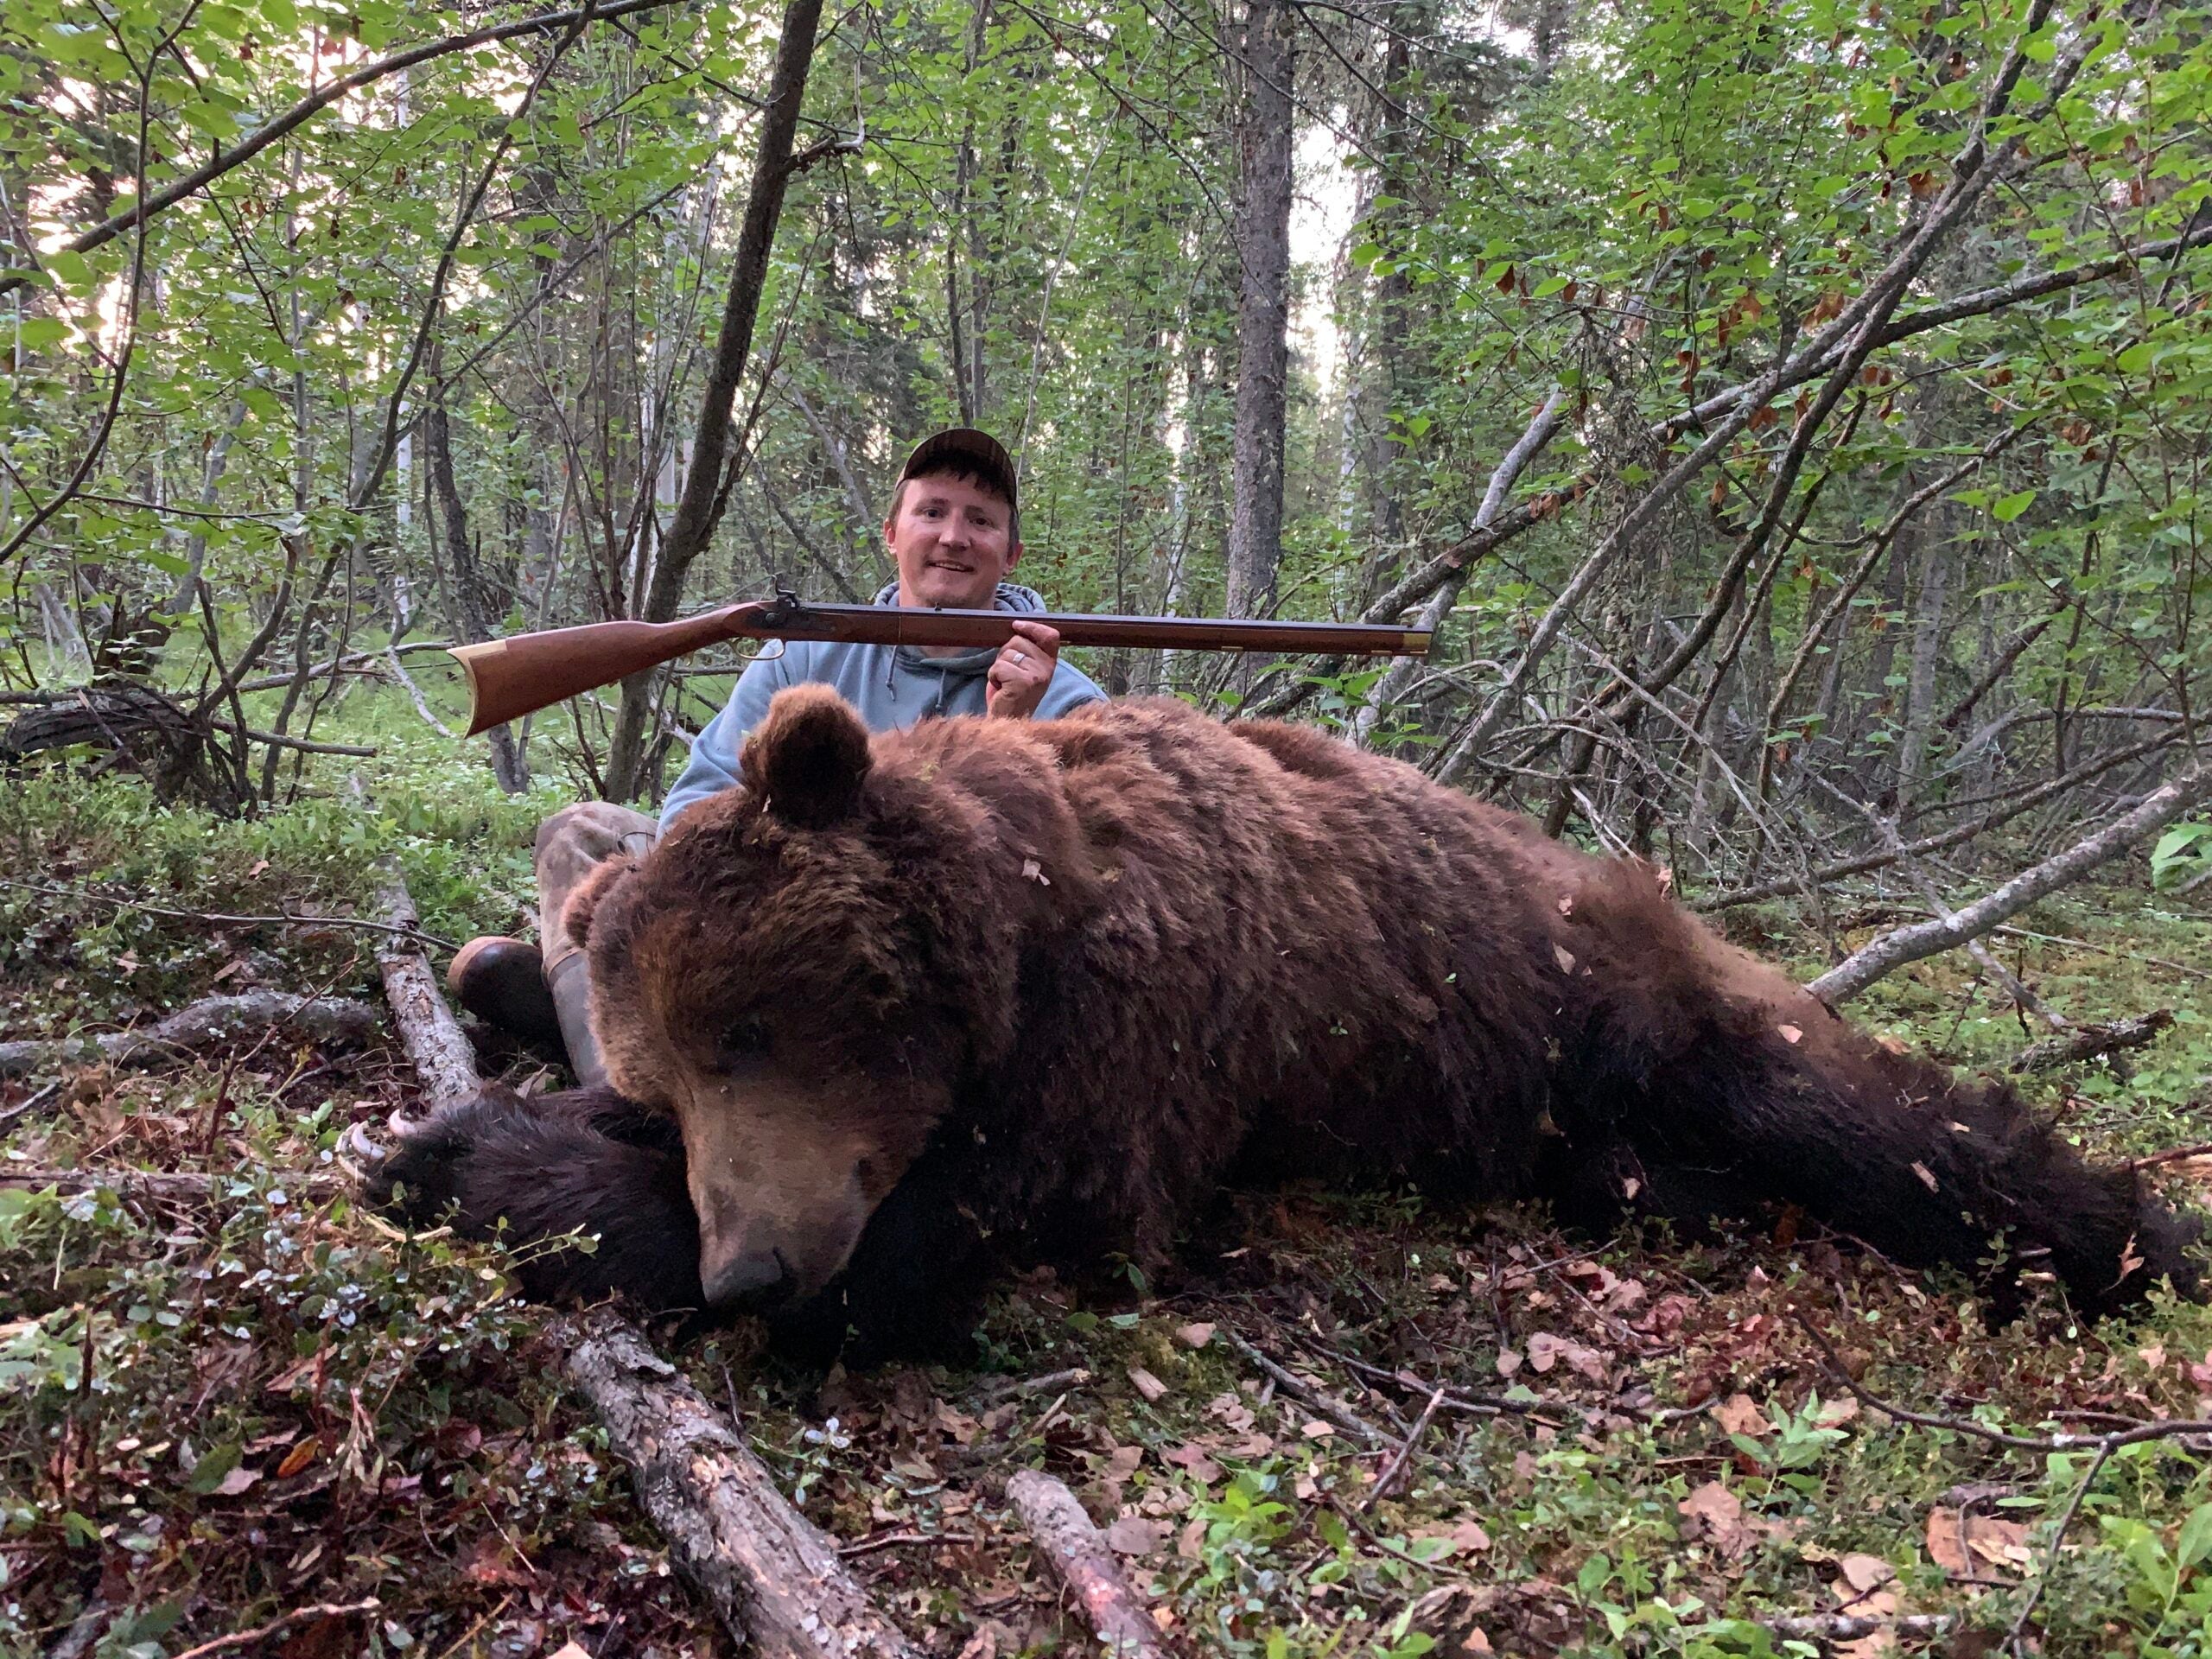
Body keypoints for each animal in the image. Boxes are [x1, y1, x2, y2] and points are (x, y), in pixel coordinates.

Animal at [369, 686, 2196, 1361]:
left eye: (749, 1032)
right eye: (667, 1091)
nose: (755, 1264)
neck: (1032, 917)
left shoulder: (1141, 1041)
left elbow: (980, 1218)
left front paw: (457, 1158)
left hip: (1630, 1002)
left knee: (1877, 1120)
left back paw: (2131, 1239)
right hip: (1568, 1131)